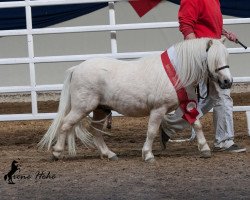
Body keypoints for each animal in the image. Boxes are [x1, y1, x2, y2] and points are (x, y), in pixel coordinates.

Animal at [38, 38, 232, 162]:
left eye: (226, 56)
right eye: (214, 59)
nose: (227, 81)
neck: (175, 73)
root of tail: (77, 68)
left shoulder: (187, 106)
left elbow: (197, 125)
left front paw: (205, 149)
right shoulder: (158, 109)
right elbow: (151, 131)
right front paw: (148, 155)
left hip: (100, 109)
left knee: (96, 131)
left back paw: (109, 154)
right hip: (82, 108)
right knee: (65, 124)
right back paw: (56, 153)